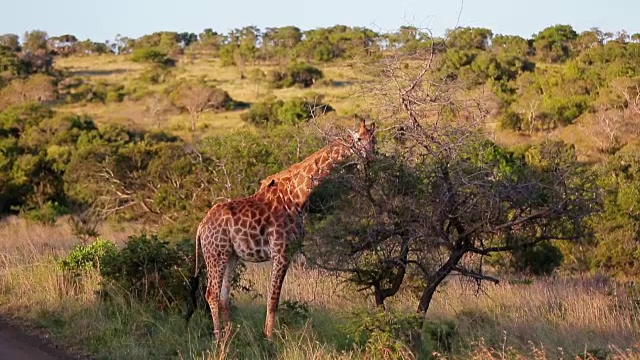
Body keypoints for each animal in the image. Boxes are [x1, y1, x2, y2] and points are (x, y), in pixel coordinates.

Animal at [190, 119, 378, 340]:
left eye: (373, 139)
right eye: (358, 139)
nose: (372, 157)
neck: (297, 195)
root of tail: (201, 226)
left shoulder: (286, 252)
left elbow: (273, 298)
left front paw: (267, 335)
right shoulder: (281, 252)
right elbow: (273, 299)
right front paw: (270, 338)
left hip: (231, 255)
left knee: (223, 296)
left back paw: (231, 336)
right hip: (215, 254)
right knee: (211, 293)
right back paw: (219, 338)